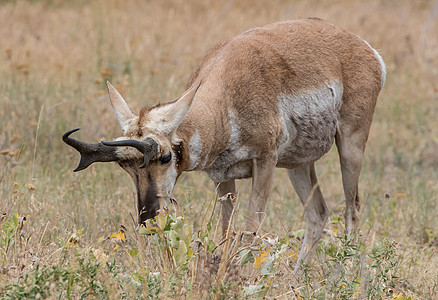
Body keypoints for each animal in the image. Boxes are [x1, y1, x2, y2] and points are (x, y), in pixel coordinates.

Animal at [63, 18, 384, 268]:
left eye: (165, 157)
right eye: (125, 167)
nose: (148, 217)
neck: (224, 97)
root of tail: (365, 48)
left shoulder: (265, 163)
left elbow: (249, 232)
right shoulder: (222, 179)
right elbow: (226, 234)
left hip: (350, 145)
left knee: (352, 212)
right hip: (298, 164)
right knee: (318, 216)